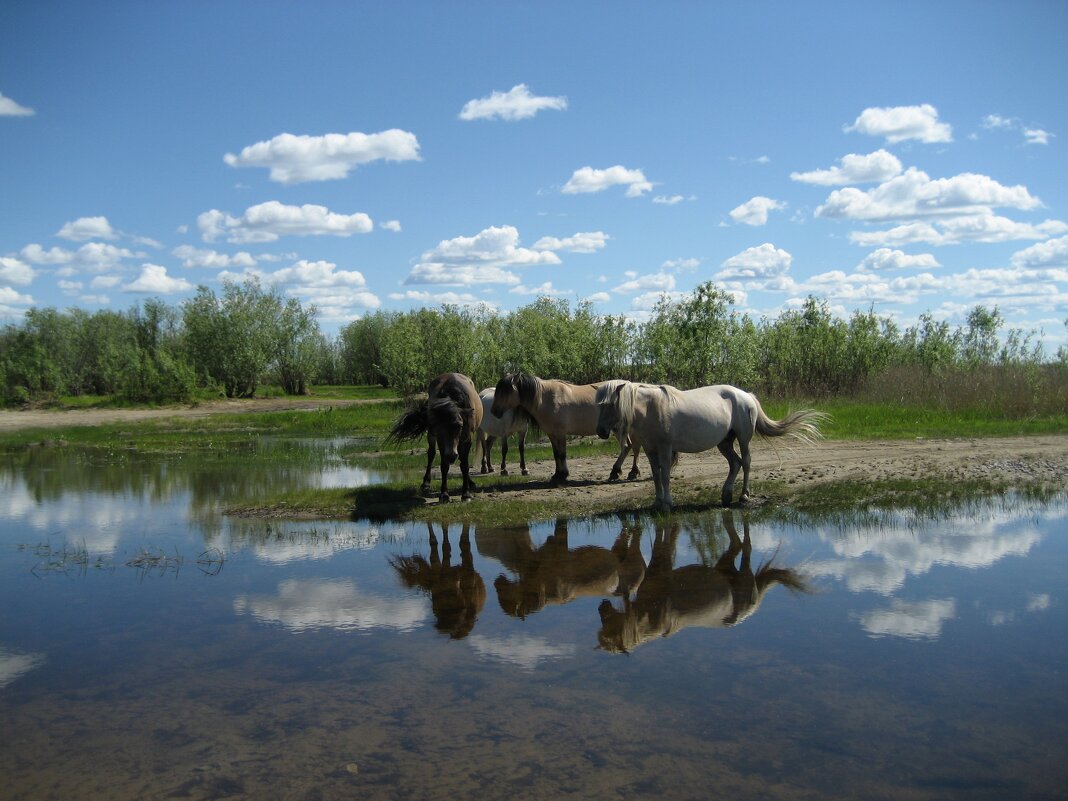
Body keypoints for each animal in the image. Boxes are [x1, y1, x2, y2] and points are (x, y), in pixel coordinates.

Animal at [593, 380, 824, 508]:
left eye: (611, 404)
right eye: (599, 405)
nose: (601, 432)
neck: (651, 408)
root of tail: (746, 395)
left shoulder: (666, 448)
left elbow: (665, 475)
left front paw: (667, 502)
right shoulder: (650, 449)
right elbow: (656, 476)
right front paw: (657, 502)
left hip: (743, 438)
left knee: (746, 462)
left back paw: (743, 496)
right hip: (724, 443)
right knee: (735, 463)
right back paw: (726, 495)